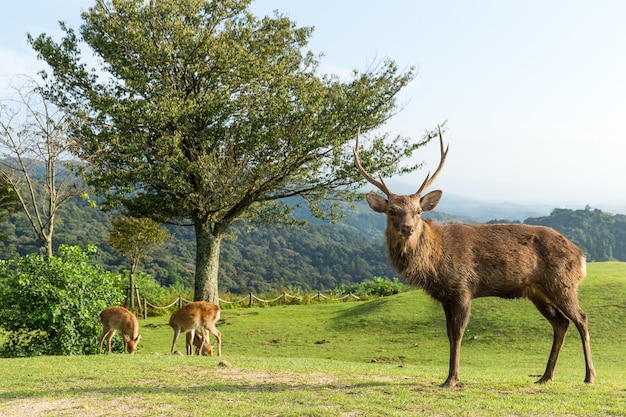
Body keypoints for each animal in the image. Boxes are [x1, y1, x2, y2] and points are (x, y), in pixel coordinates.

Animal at [352, 127, 596, 386]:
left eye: (418, 211)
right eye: (391, 211)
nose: (407, 228)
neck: (435, 264)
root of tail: (581, 256)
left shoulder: (463, 288)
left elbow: (458, 333)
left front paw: (452, 379)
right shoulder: (445, 296)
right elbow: (449, 334)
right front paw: (450, 376)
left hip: (562, 284)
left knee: (581, 318)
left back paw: (589, 376)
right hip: (537, 291)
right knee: (561, 323)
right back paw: (545, 376)